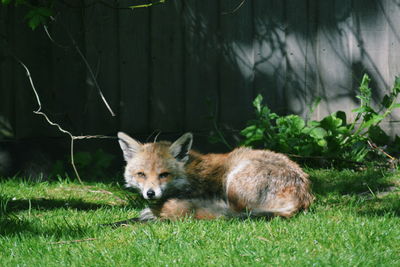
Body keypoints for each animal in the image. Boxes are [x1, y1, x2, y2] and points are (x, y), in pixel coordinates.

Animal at [108, 133, 312, 225]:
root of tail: (303, 196)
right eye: (141, 174)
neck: (190, 175)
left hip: (234, 181)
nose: (150, 193)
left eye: (164, 174)